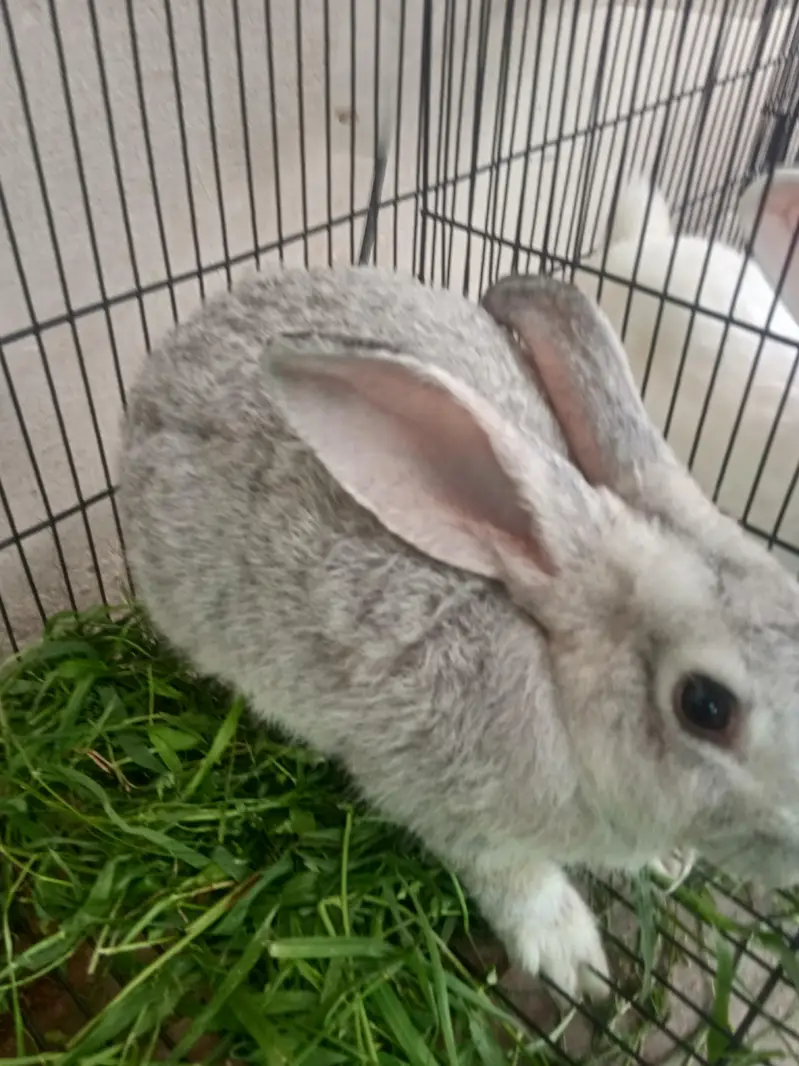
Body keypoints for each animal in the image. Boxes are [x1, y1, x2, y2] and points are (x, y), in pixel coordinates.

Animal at [117, 264, 799, 1003]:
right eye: (704, 706)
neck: (557, 694)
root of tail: (164, 361)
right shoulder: (454, 811)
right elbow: (517, 881)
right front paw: (573, 959)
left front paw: (669, 862)